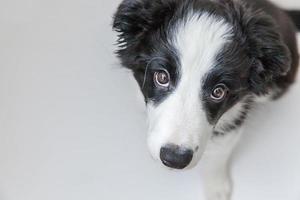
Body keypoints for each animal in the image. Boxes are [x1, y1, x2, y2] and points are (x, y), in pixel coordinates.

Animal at [112, 0, 300, 198]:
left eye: (218, 92)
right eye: (162, 77)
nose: (175, 159)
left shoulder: (235, 115)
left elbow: (220, 152)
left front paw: (216, 188)